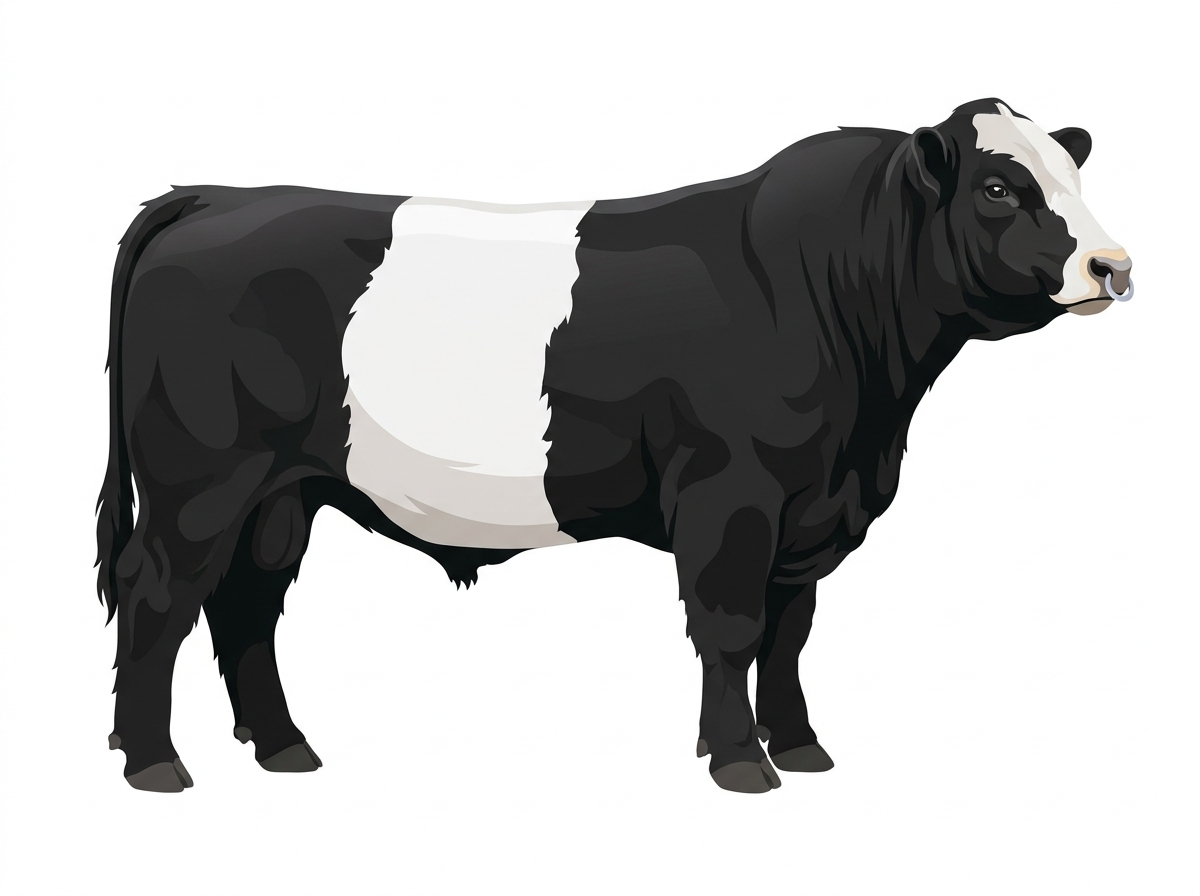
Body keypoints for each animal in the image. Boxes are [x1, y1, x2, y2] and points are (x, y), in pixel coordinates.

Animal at [96, 99, 1133, 793]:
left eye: (1074, 176)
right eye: (998, 187)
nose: (1113, 266)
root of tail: (209, 196)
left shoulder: (811, 511)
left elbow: (790, 630)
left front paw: (801, 748)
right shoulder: (731, 492)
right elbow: (731, 627)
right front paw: (740, 762)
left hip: (281, 493)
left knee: (246, 604)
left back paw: (284, 749)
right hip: (199, 481)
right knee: (158, 596)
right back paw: (154, 764)